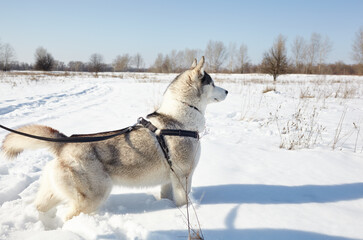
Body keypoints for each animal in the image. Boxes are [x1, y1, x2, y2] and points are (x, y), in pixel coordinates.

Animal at [1, 55, 228, 219]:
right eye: (212, 83)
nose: (227, 91)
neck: (179, 118)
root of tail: (64, 142)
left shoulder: (169, 179)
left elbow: (168, 198)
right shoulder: (183, 176)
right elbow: (184, 203)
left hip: (54, 193)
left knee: (41, 207)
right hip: (93, 197)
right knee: (69, 217)